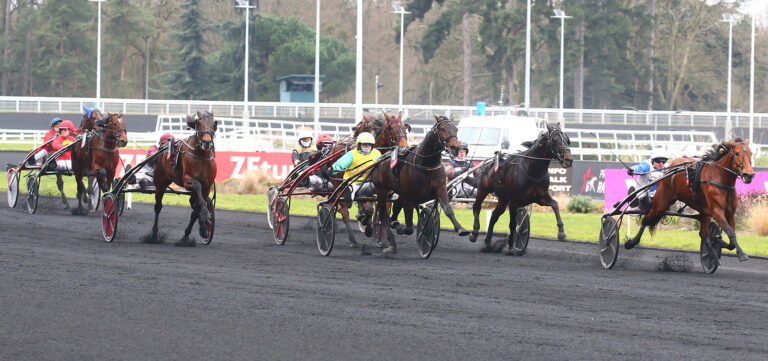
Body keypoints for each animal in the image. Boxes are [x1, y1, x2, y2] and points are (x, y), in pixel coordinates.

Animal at [146, 109, 218, 245]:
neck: (201, 157)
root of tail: (162, 149)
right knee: (158, 207)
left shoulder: (207, 186)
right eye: (198, 123)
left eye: (214, 123)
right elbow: (197, 188)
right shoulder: (187, 180)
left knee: (193, 203)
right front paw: (206, 216)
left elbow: (197, 208)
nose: (206, 142)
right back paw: (154, 235)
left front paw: (201, 229)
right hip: (161, 183)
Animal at [370, 113, 472, 256]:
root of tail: (383, 157)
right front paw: (404, 229)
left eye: (456, 129)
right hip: (382, 190)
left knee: (392, 211)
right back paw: (391, 242)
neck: (425, 164)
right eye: (442, 129)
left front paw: (460, 228)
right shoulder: (409, 196)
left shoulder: (440, 190)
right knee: (384, 215)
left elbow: (448, 209)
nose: (455, 148)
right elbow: (408, 227)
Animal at [464, 122, 572, 252]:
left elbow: (555, 204)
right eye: (555, 140)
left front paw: (562, 233)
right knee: (477, 206)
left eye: (567, 139)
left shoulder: (540, 197)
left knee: (494, 215)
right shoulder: (514, 201)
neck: (532, 170)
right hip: (483, 190)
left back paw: (488, 242)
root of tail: (489, 163)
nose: (569, 160)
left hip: (503, 199)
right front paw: (511, 246)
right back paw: (474, 233)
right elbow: (512, 224)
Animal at [624, 138, 756, 262]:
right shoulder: (717, 211)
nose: (749, 175)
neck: (720, 178)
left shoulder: (730, 212)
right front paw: (742, 254)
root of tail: (670, 169)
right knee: (646, 219)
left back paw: (713, 257)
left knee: (703, 234)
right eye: (737, 153)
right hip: (660, 204)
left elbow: (731, 237)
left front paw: (718, 241)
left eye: (751, 153)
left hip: (704, 212)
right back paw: (631, 242)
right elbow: (731, 232)